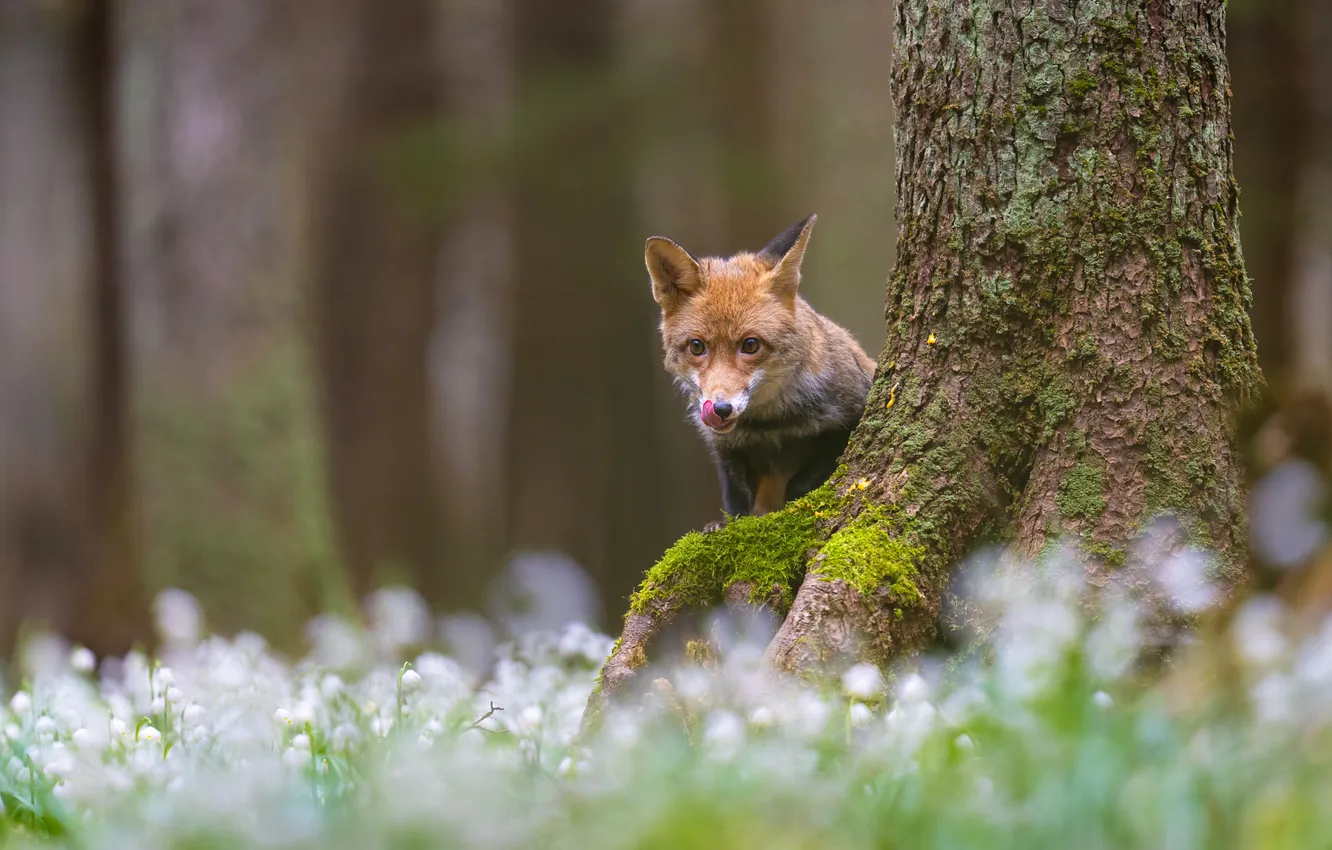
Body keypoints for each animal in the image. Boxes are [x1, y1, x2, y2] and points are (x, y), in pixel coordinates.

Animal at [645, 214, 876, 526]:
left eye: (751, 345)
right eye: (696, 346)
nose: (720, 409)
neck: (770, 423)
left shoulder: (850, 417)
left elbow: (802, 483)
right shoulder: (727, 449)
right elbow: (736, 506)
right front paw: (724, 525)